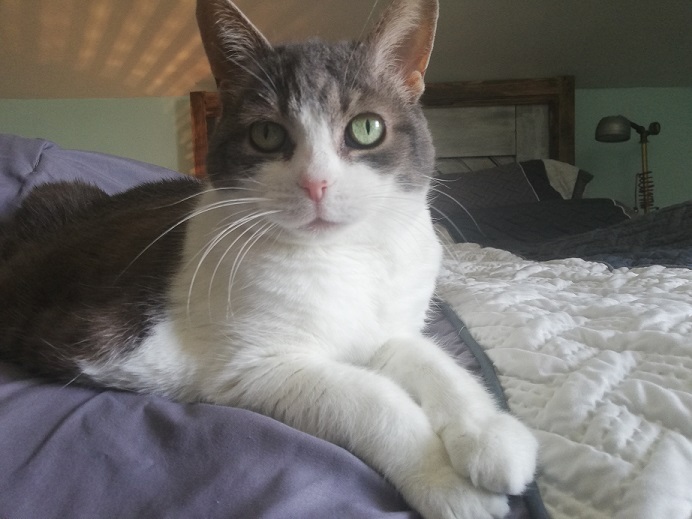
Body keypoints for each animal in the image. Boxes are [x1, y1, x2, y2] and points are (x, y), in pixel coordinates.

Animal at [0, 1, 536, 519]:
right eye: (265, 135)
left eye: (366, 128)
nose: (316, 183)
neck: (349, 258)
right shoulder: (255, 370)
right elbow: (374, 398)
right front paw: (447, 482)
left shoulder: (388, 327)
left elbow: (431, 358)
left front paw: (491, 436)